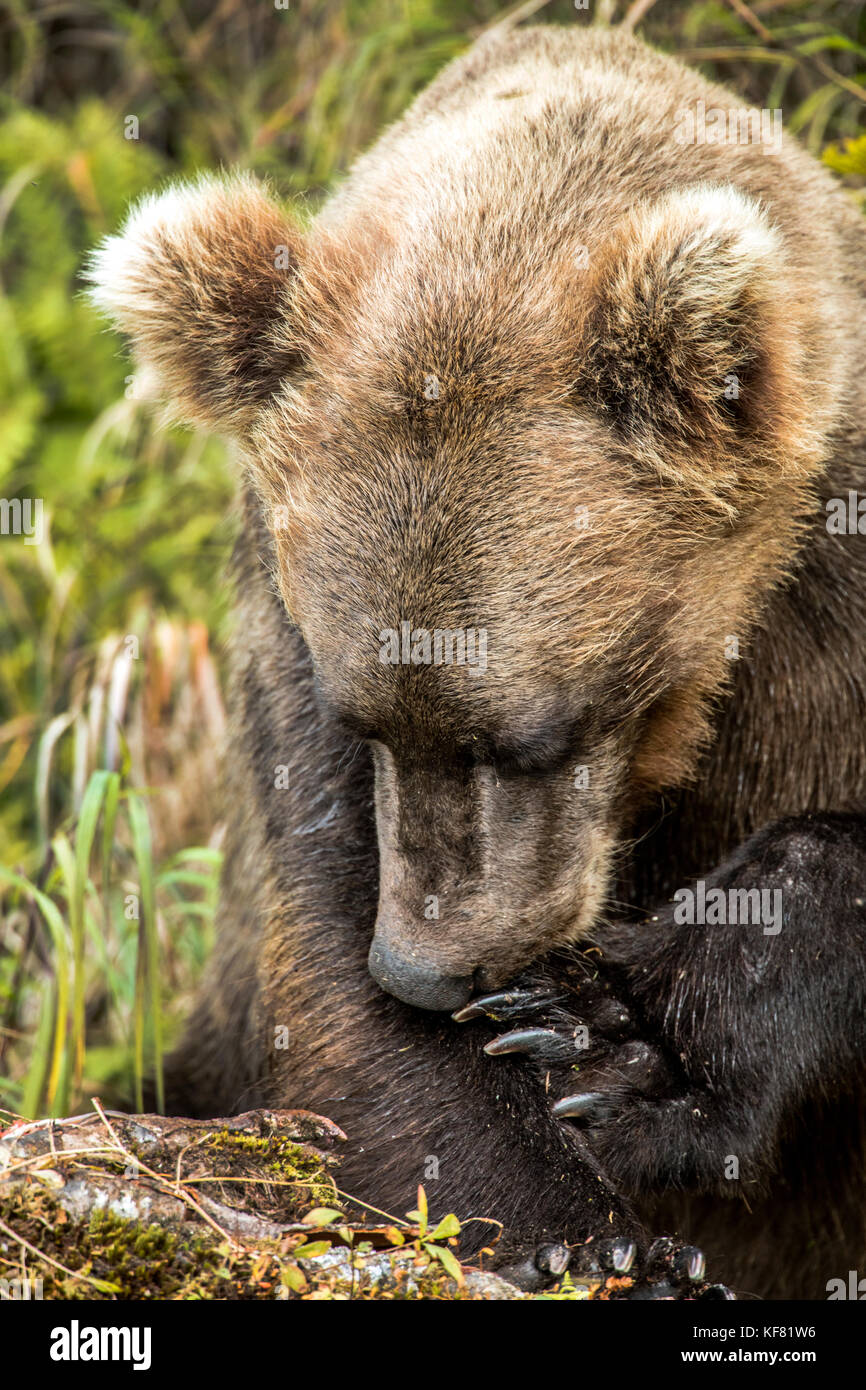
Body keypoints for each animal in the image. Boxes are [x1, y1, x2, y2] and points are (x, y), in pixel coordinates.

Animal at [88, 24, 866, 1301]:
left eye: (532, 734)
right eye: (364, 716)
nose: (421, 969)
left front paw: (615, 1041)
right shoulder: (283, 655)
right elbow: (329, 956)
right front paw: (595, 1227)